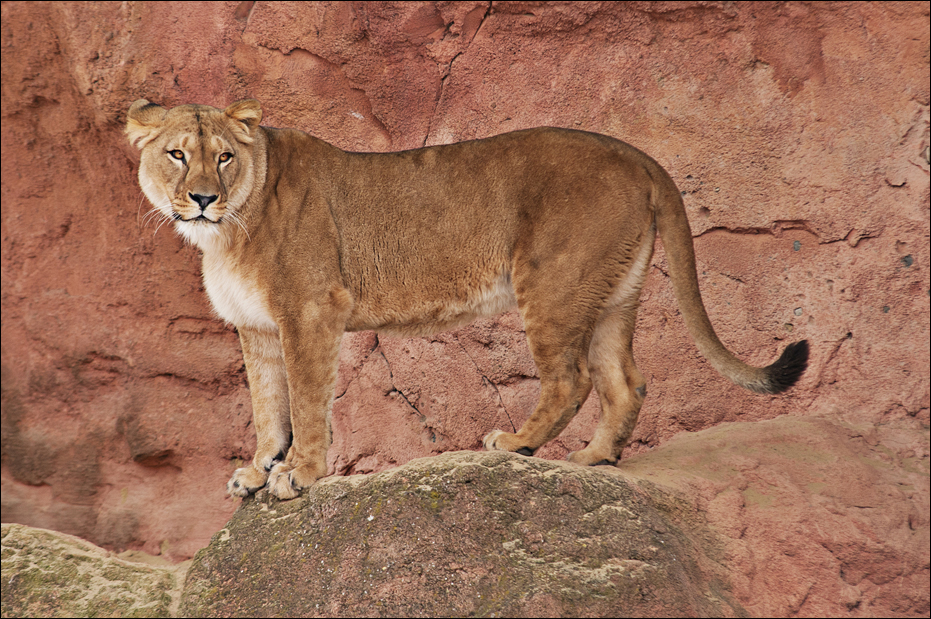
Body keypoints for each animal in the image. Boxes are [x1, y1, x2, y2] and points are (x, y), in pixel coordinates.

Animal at [125, 99, 809, 500]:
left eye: (223, 157)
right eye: (176, 154)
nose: (203, 198)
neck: (227, 231)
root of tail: (637, 154)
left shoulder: (313, 309)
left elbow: (307, 402)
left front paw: (300, 474)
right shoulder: (259, 326)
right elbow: (268, 404)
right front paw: (257, 469)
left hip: (552, 282)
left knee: (571, 378)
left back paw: (517, 445)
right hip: (613, 292)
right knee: (625, 381)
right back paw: (593, 459)